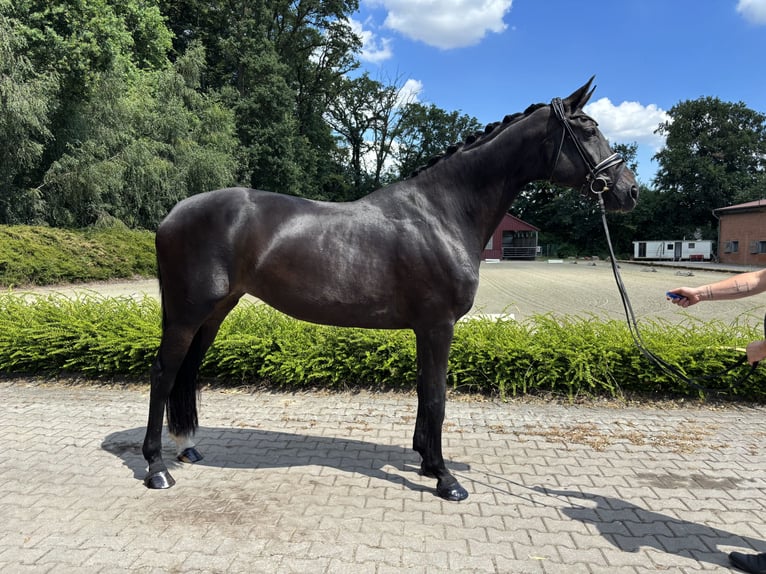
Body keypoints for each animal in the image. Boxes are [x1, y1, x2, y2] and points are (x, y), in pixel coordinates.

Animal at [141, 77, 639, 501]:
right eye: (588, 128)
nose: (629, 192)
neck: (442, 212)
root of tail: (172, 215)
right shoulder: (438, 325)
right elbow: (437, 397)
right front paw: (446, 479)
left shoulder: (426, 329)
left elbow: (424, 393)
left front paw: (427, 462)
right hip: (188, 312)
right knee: (164, 372)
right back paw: (156, 468)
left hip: (215, 311)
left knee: (187, 372)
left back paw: (186, 448)